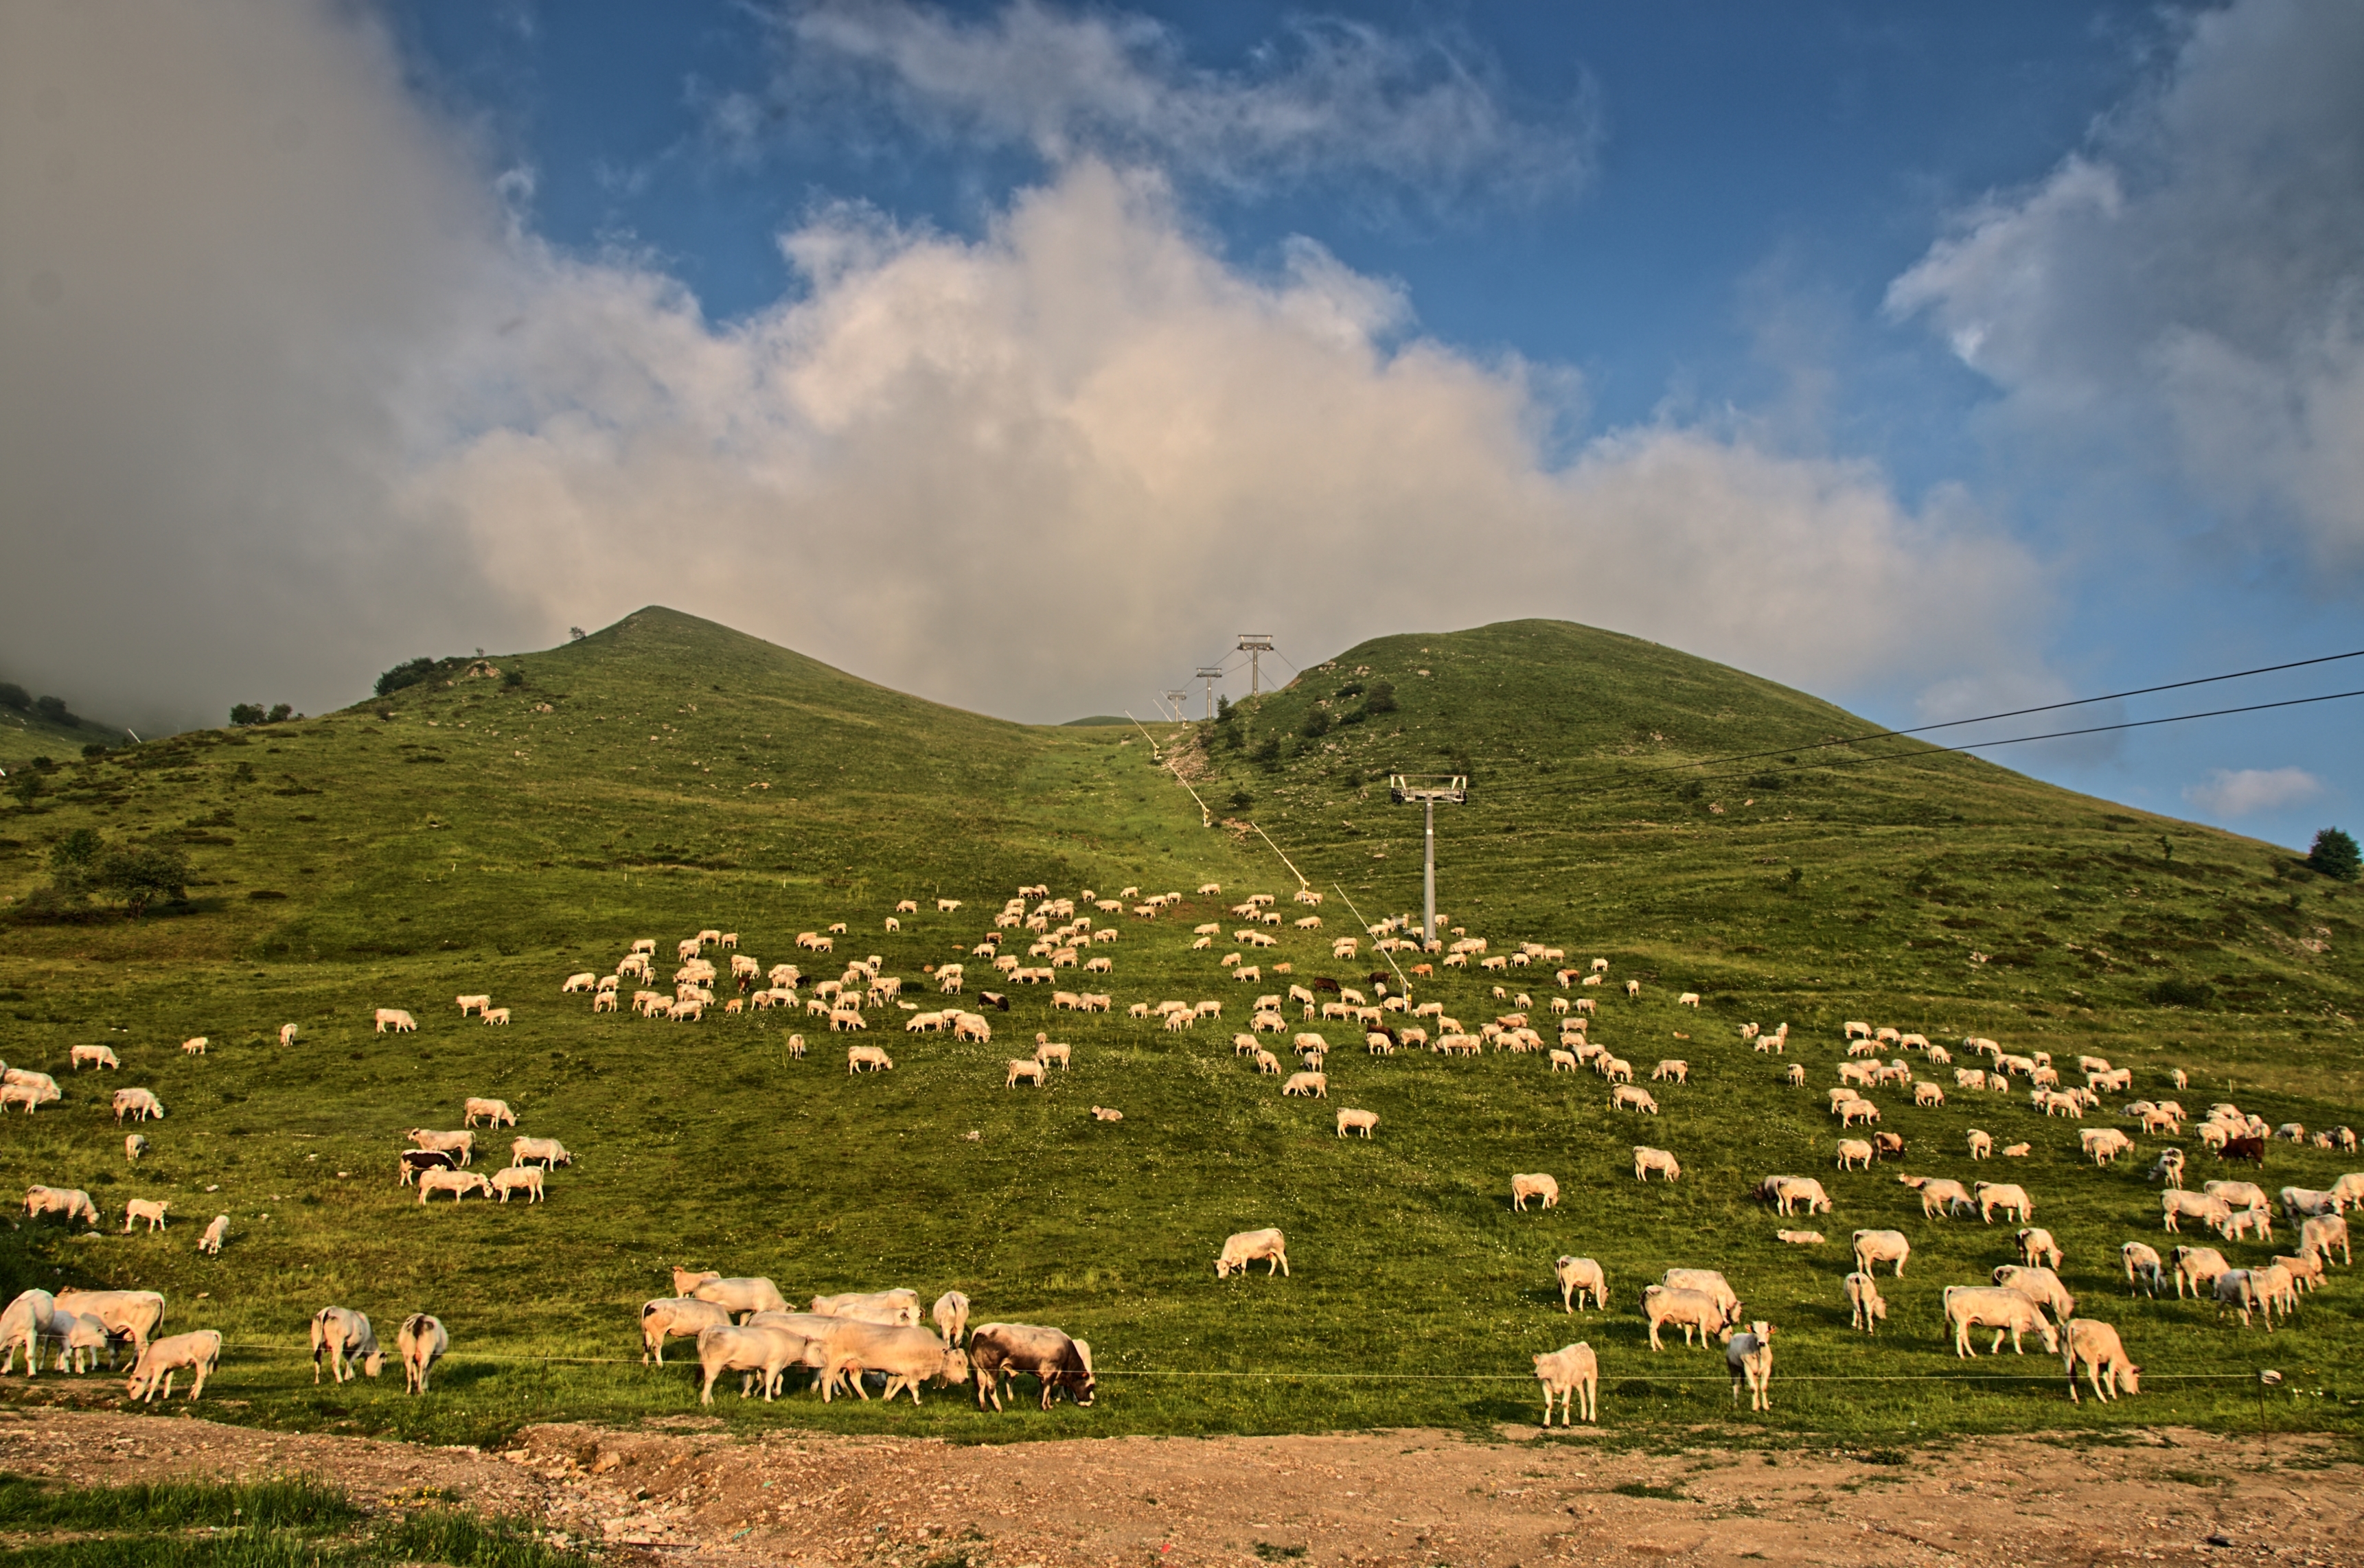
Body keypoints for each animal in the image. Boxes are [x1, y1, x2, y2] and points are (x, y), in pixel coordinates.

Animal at [964, 1324, 1092, 1409]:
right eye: (1091, 1386)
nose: (1088, 1401)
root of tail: (980, 1331)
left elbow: (1046, 1388)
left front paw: (1049, 1404)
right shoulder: (1051, 1371)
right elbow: (1047, 1388)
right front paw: (1046, 1406)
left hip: (980, 1369)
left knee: (980, 1386)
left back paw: (984, 1408)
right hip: (992, 1369)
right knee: (990, 1388)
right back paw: (999, 1408)